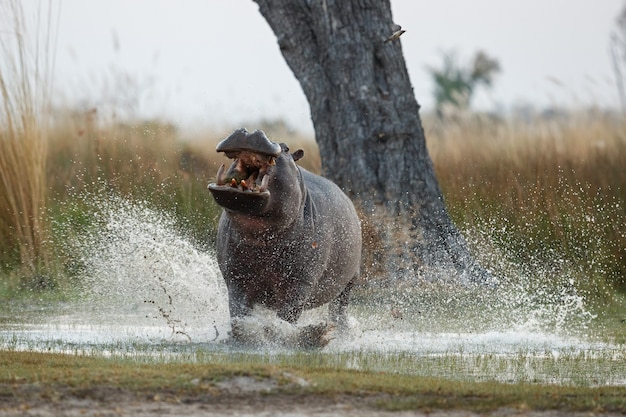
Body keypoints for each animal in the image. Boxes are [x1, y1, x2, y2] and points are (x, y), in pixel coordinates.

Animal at [207, 128, 360, 346]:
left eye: (286, 148)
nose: (249, 132)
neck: (261, 235)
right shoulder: (236, 277)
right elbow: (238, 311)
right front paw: (243, 335)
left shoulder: (300, 283)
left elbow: (287, 315)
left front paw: (311, 335)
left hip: (351, 279)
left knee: (339, 308)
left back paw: (343, 333)